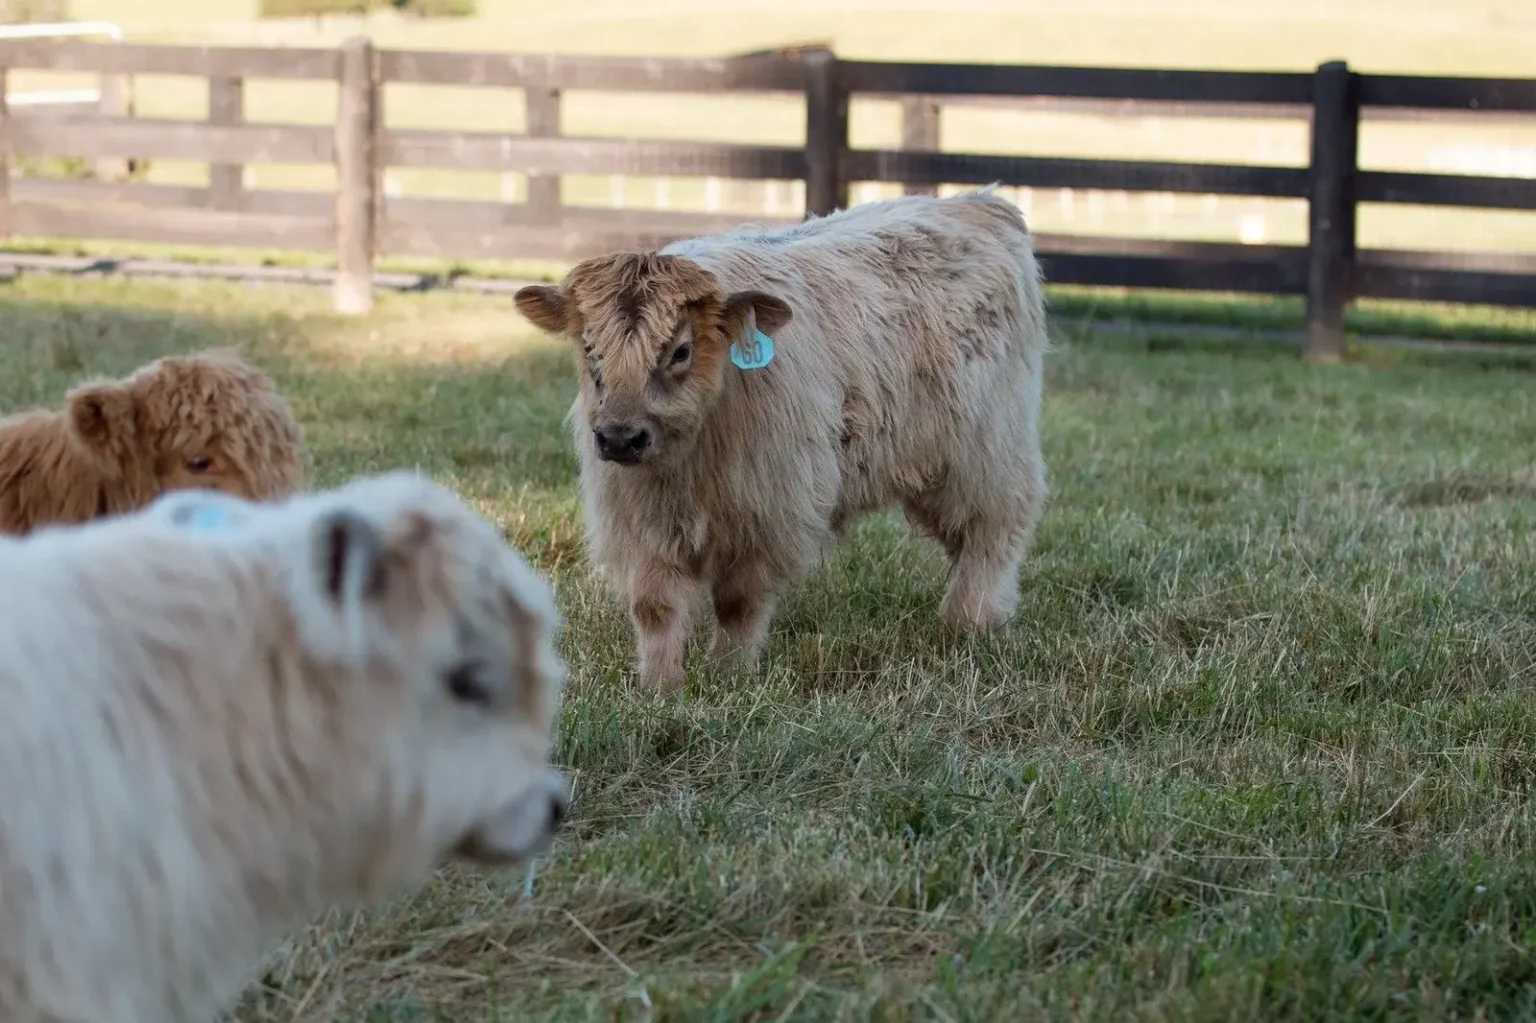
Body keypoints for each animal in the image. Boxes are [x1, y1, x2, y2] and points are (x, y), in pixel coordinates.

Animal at [513, 186, 1049, 692]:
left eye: (681, 350)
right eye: (589, 348)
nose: (620, 439)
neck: (687, 466)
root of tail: (980, 202)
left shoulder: (768, 513)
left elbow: (738, 602)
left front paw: (729, 675)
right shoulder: (636, 520)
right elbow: (656, 607)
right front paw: (660, 687)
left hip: (985, 451)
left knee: (996, 527)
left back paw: (972, 619)